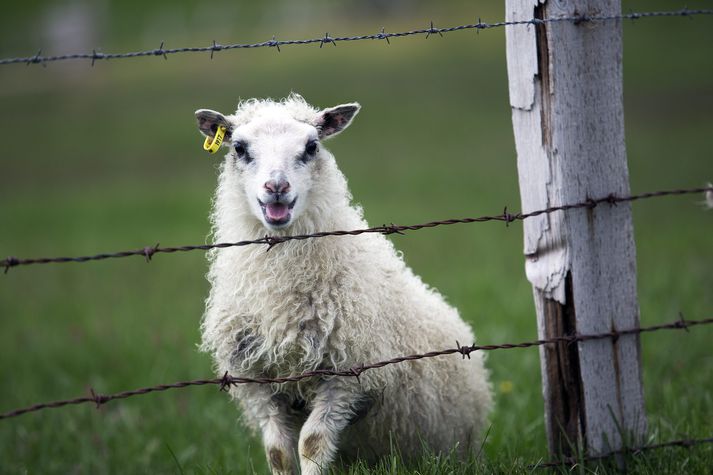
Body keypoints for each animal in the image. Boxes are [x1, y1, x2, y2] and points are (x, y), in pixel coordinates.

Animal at [196, 95, 496, 474]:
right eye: (239, 147)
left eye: (311, 146)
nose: (277, 188)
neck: (280, 289)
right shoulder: (255, 379)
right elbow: (278, 452)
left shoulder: (346, 375)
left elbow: (312, 443)